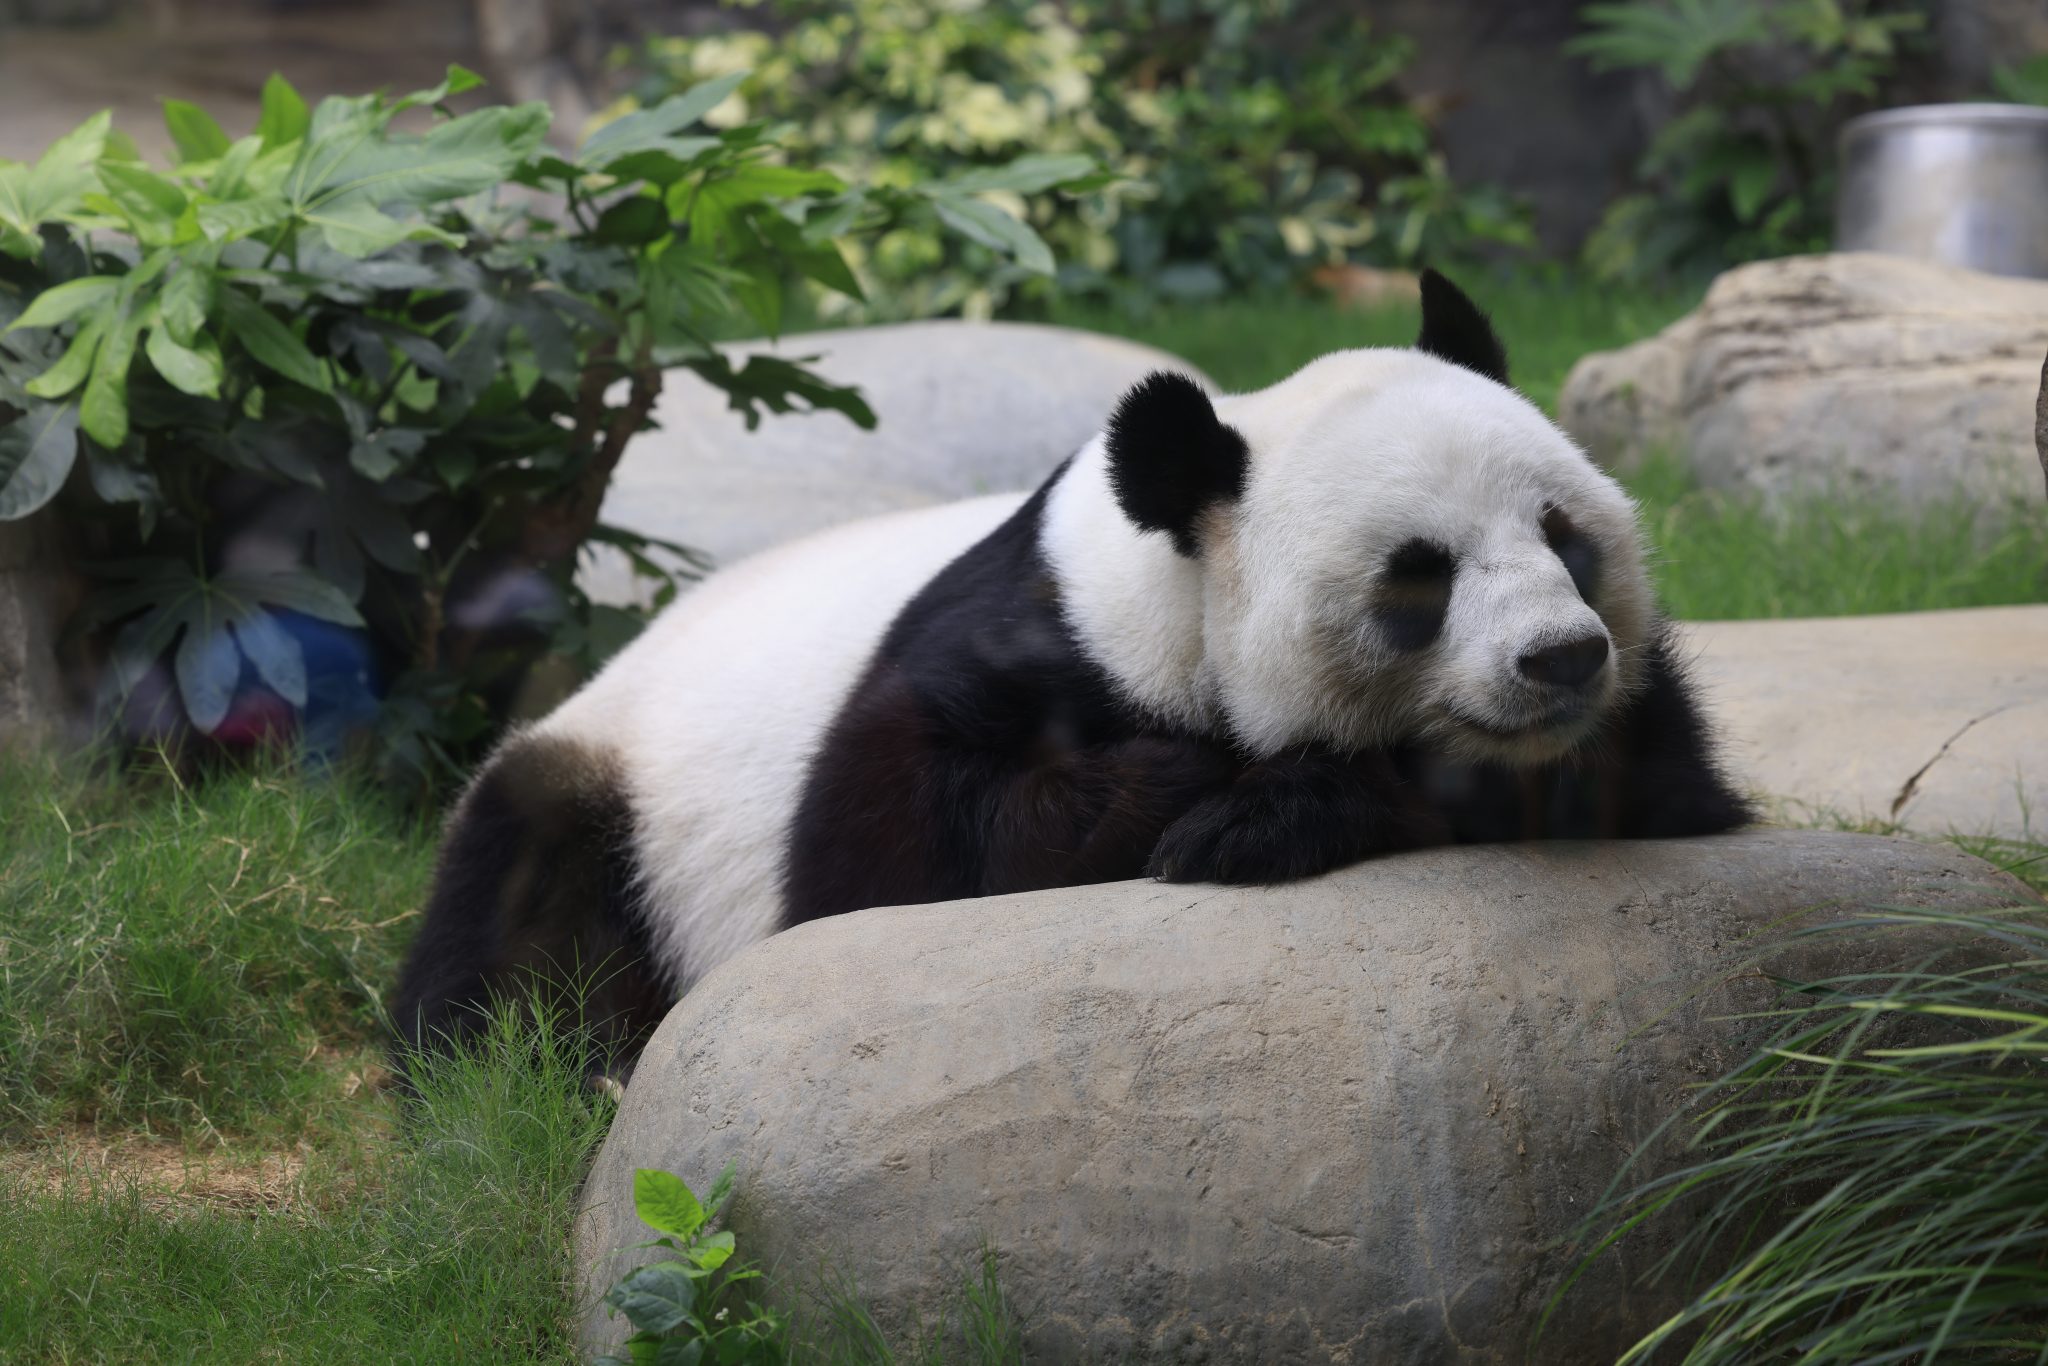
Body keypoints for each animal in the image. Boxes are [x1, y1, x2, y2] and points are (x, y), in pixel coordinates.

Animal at [391, 271, 1751, 1074]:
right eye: (1417, 579)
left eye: (1563, 535)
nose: (1559, 657)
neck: (1171, 593)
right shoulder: (999, 649)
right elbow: (882, 856)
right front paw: (1226, 798)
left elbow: (1657, 785)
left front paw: (1277, 805)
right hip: (622, 779)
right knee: (519, 912)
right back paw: (535, 1061)